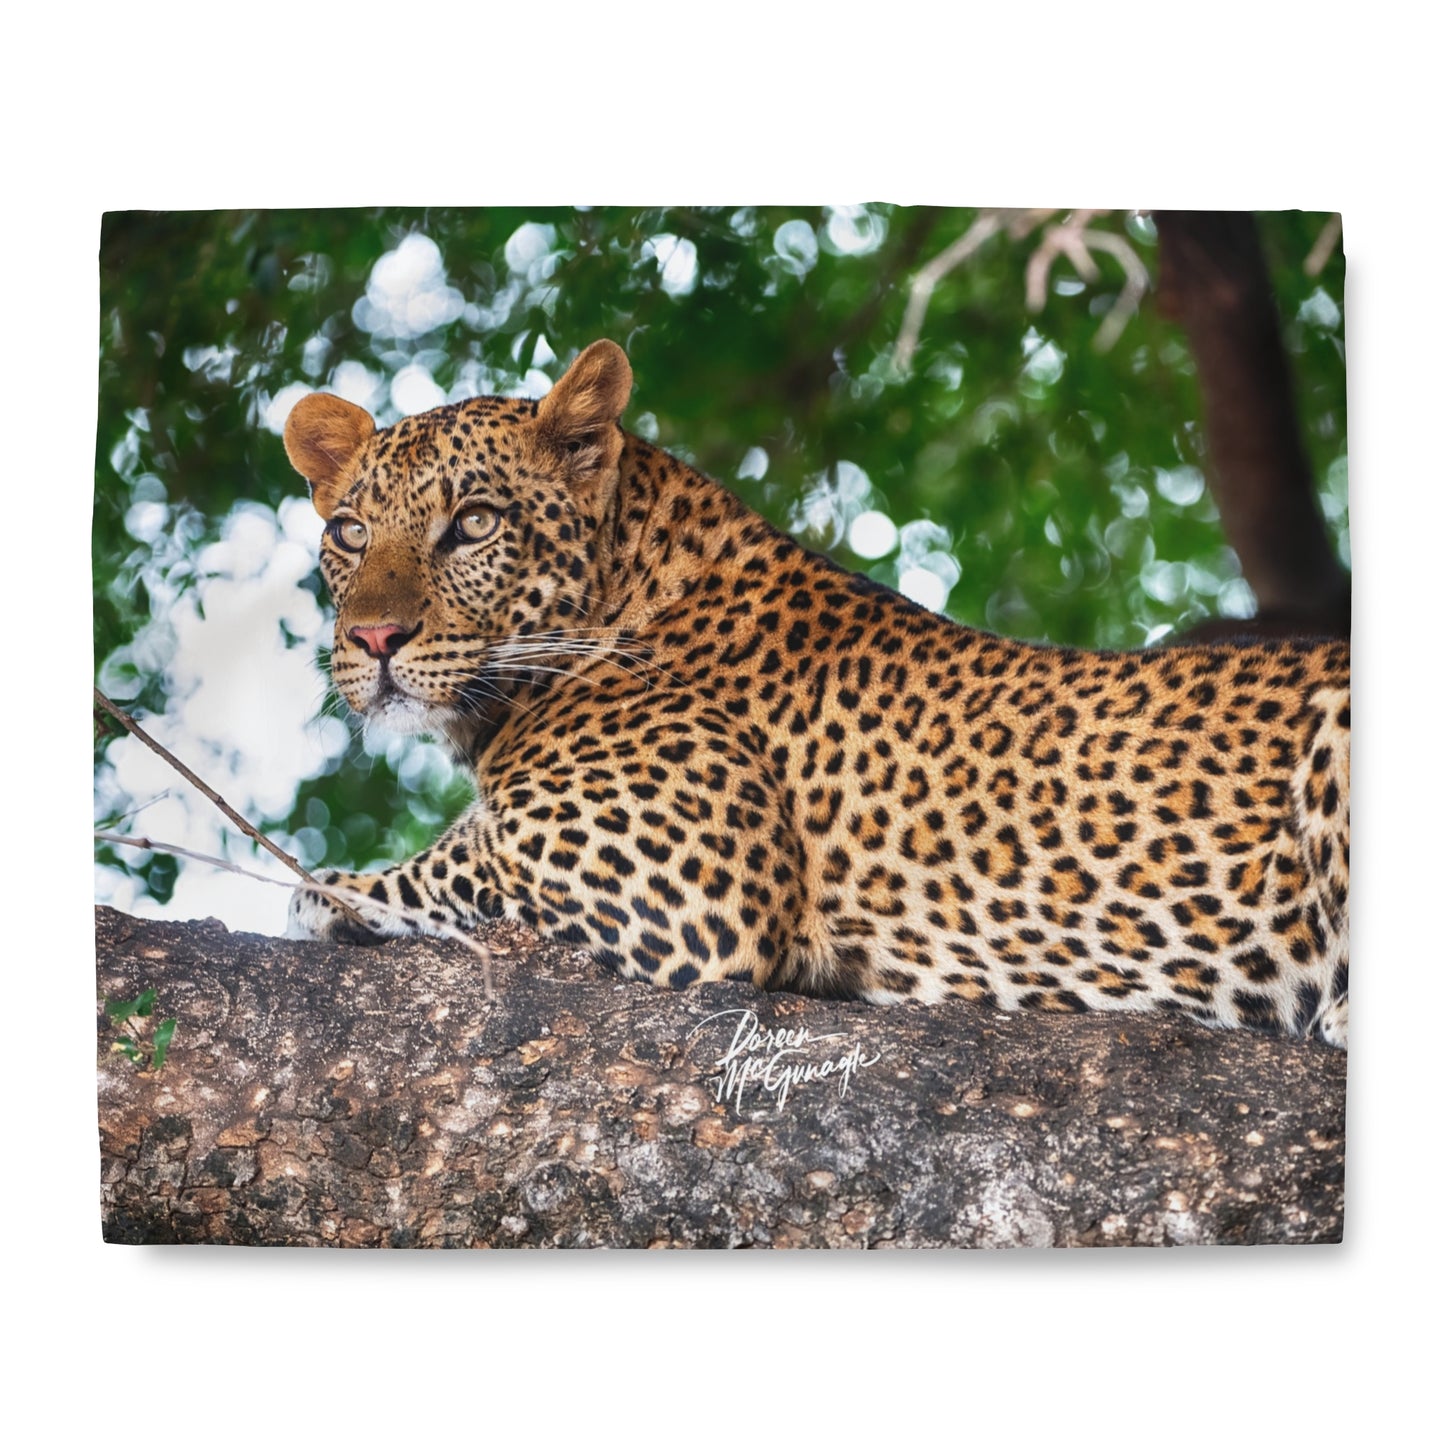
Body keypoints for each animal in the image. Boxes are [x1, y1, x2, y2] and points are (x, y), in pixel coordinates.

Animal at [282, 339, 1350, 1048]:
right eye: (348, 533)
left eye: (472, 523)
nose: (373, 639)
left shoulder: (677, 879)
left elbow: (431, 867)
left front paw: (330, 894)